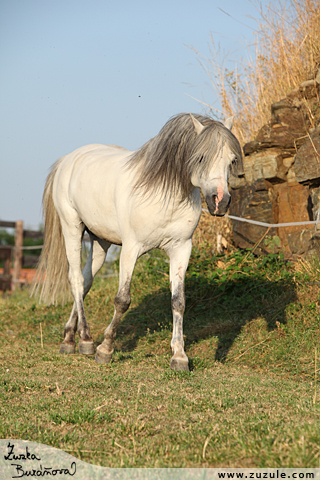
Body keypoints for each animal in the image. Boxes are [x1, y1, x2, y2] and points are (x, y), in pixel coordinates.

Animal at [33, 113, 242, 372]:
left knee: (87, 280)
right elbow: (122, 300)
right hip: (72, 228)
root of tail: (68, 159)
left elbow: (178, 302)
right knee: (76, 280)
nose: (220, 202)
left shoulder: (181, 249)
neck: (164, 195)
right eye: (201, 157)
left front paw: (179, 356)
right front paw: (106, 349)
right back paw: (86, 340)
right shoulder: (131, 249)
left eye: (232, 161)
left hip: (100, 242)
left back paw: (70, 338)